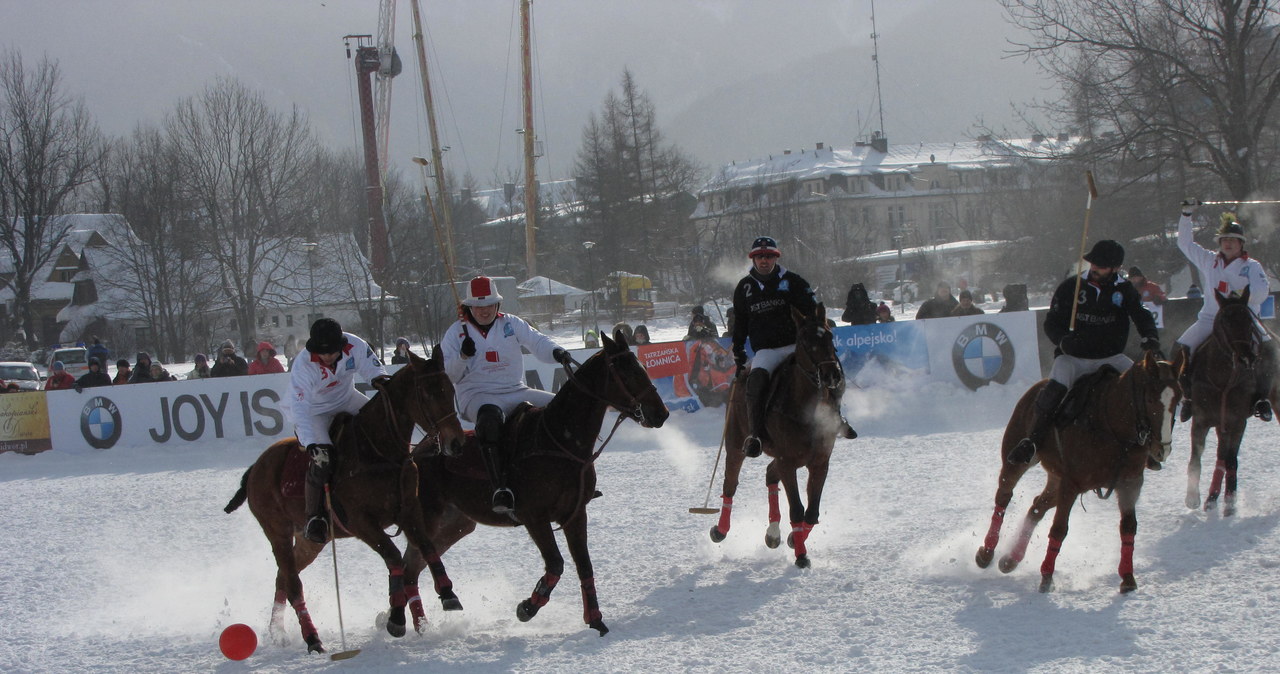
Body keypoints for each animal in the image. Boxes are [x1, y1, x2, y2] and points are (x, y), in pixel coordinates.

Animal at [222, 350, 468, 654]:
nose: (456, 443)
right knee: (293, 582)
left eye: (450, 389)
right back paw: (312, 639)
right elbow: (394, 557)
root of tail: (256, 467)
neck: (379, 450)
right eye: (427, 393)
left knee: (282, 576)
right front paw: (396, 619)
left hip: (310, 540)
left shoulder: (409, 511)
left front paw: (447, 594)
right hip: (277, 531)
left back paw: (278, 631)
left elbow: (426, 548)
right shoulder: (362, 522)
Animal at [404, 332, 670, 639]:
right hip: (427, 516)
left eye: (641, 366)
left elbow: (584, 566)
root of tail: (416, 450)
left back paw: (403, 621)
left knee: (413, 565)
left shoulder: (575, 514)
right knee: (409, 564)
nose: (661, 414)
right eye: (626, 371)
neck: (561, 441)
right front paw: (527, 608)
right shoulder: (535, 518)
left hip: (455, 523)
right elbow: (556, 563)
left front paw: (595, 620)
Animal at [706, 304, 844, 570]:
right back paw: (720, 530)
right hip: (736, 441)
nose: (832, 374)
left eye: (830, 336)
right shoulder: (788, 462)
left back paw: (773, 534)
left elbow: (812, 512)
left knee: (770, 473)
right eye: (804, 341)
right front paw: (801, 556)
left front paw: (793, 539)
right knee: (730, 483)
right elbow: (797, 509)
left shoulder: (820, 462)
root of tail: (743, 372)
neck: (806, 409)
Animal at [977, 350, 1177, 593]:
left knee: (1037, 506)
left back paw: (1011, 560)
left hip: (1056, 477)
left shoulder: (1131, 483)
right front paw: (1046, 577)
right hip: (1018, 460)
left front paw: (1128, 578)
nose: (1161, 450)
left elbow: (1128, 527)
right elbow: (1059, 529)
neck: (1113, 427)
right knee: (1004, 496)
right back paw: (986, 552)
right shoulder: (1071, 484)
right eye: (1150, 399)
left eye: (1178, 399)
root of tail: (1039, 385)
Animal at [1177, 287, 1269, 514]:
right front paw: (1192, 497)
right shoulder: (1201, 421)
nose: (1246, 358)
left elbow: (1231, 461)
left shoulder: (1237, 421)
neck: (1222, 378)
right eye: (1226, 321)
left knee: (1225, 457)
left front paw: (1230, 502)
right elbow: (1196, 457)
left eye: (1249, 320)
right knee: (1219, 454)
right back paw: (1211, 497)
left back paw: (1216, 497)